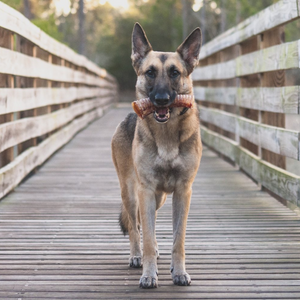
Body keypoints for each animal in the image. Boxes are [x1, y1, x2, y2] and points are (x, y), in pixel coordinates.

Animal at [111, 23, 203, 288]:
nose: (161, 100)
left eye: (175, 73)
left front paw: (179, 271)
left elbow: (178, 239)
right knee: (135, 227)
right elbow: (148, 238)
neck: (167, 135)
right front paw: (149, 274)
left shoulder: (183, 192)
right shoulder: (146, 191)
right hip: (132, 194)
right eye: (150, 72)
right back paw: (136, 256)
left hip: (160, 197)